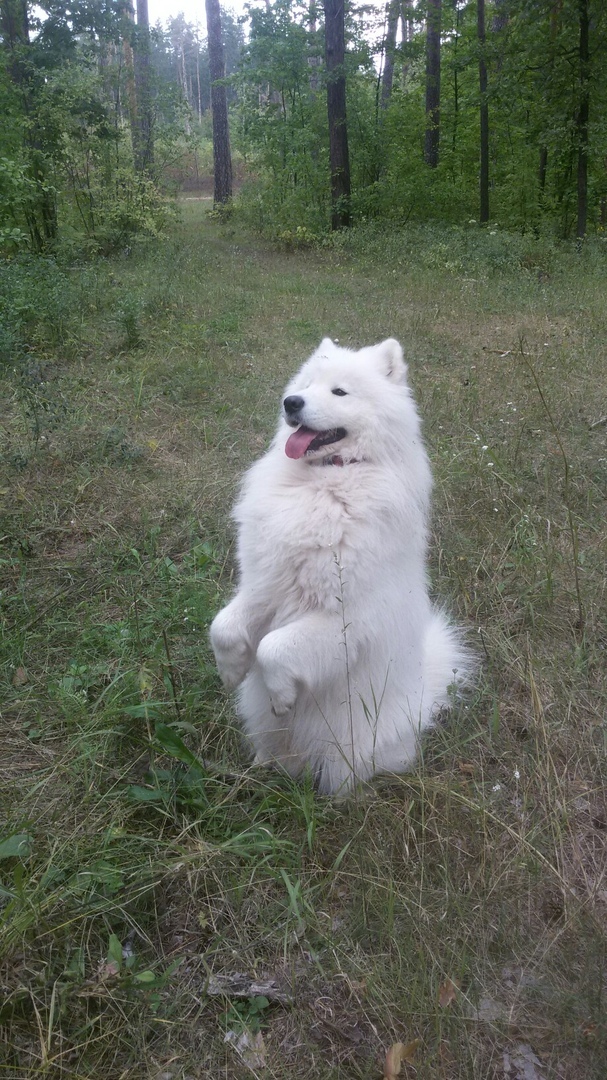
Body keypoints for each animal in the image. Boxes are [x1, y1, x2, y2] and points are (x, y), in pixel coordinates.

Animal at [210, 341, 470, 799]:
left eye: (340, 392)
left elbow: (274, 647)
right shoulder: (264, 587)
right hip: (267, 734)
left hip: (349, 747)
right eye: (306, 385)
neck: (326, 480)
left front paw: (282, 695)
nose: (291, 402)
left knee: (344, 775)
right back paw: (258, 770)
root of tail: (422, 697)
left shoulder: (349, 619)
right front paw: (232, 670)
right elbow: (223, 626)